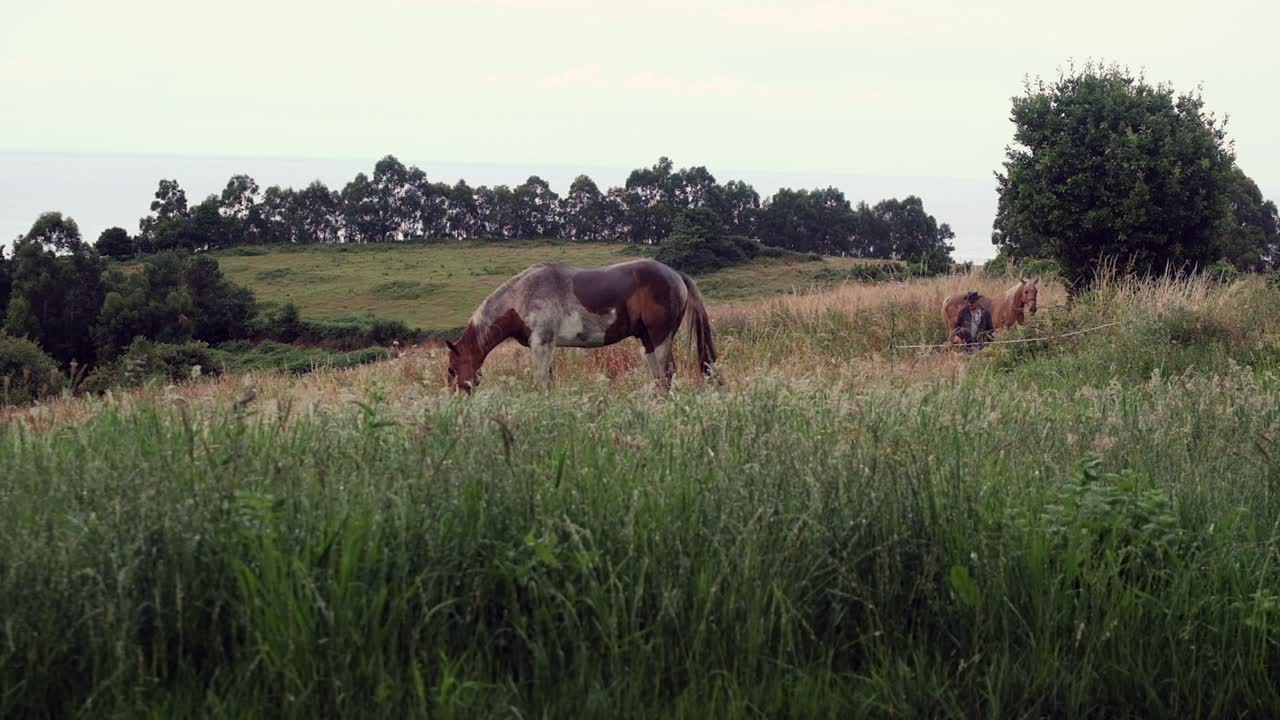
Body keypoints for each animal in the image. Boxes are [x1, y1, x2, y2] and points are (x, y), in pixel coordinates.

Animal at [445, 258, 717, 393]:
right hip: (647, 341)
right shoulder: (545, 347)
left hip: (660, 337)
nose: (456, 398)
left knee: (668, 373)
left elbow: (541, 381)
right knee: (659, 377)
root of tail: (675, 274)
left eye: (451, 370)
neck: (524, 294)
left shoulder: (541, 344)